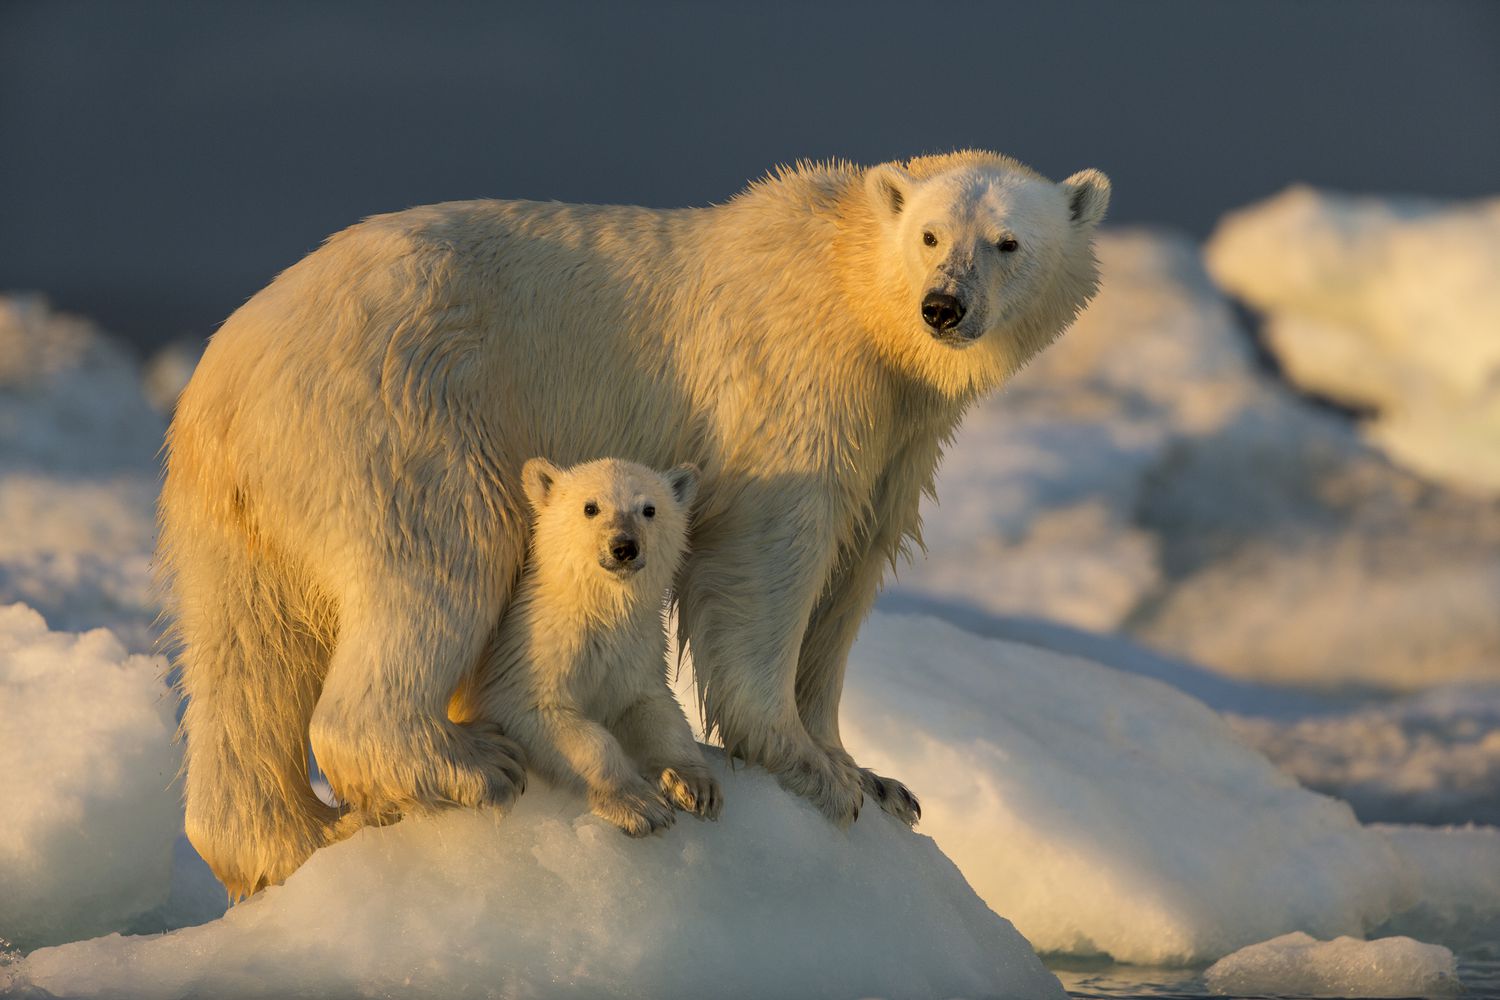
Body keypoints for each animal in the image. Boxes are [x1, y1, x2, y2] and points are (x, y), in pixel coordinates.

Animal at [450, 458, 720, 839]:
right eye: (590, 507)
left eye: (649, 509)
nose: (624, 547)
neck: (600, 610)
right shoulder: (531, 652)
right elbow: (553, 719)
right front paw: (641, 805)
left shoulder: (637, 652)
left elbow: (654, 708)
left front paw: (694, 785)